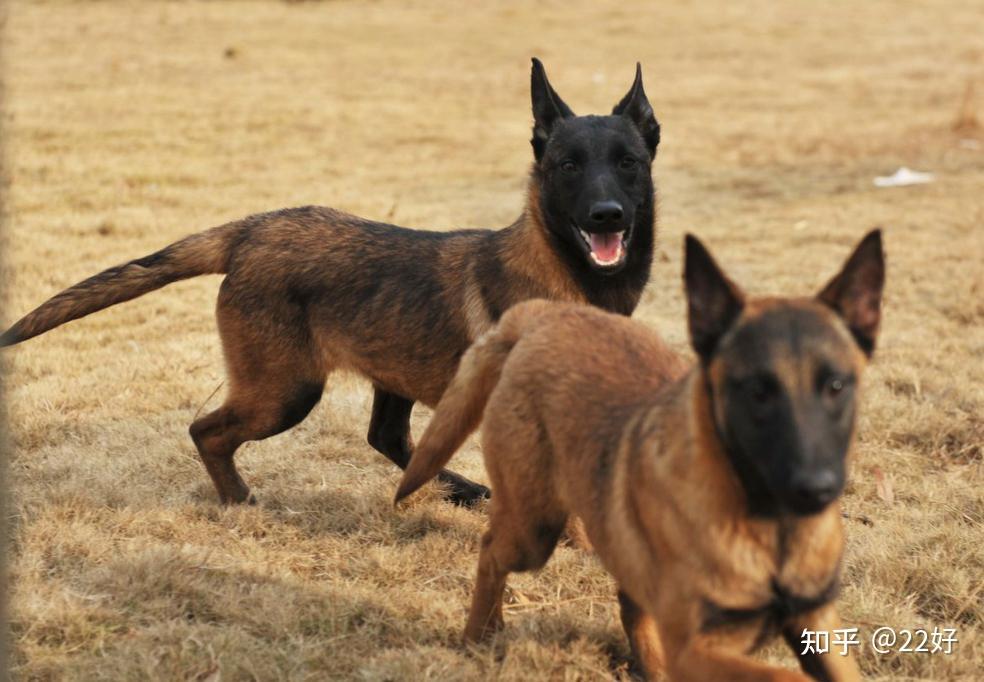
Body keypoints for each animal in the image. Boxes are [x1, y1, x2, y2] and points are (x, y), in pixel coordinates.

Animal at [1, 58, 660, 504]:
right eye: (568, 166)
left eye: (628, 163)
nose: (606, 215)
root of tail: (253, 229)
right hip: (285, 390)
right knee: (207, 431)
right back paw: (239, 501)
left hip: (381, 369)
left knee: (388, 438)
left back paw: (458, 491)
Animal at [398, 231, 884, 676]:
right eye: (757, 392)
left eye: (836, 386)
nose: (816, 489)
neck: (771, 532)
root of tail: (547, 315)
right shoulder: (697, 651)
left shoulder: (819, 627)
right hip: (533, 529)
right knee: (492, 553)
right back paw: (479, 634)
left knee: (629, 602)